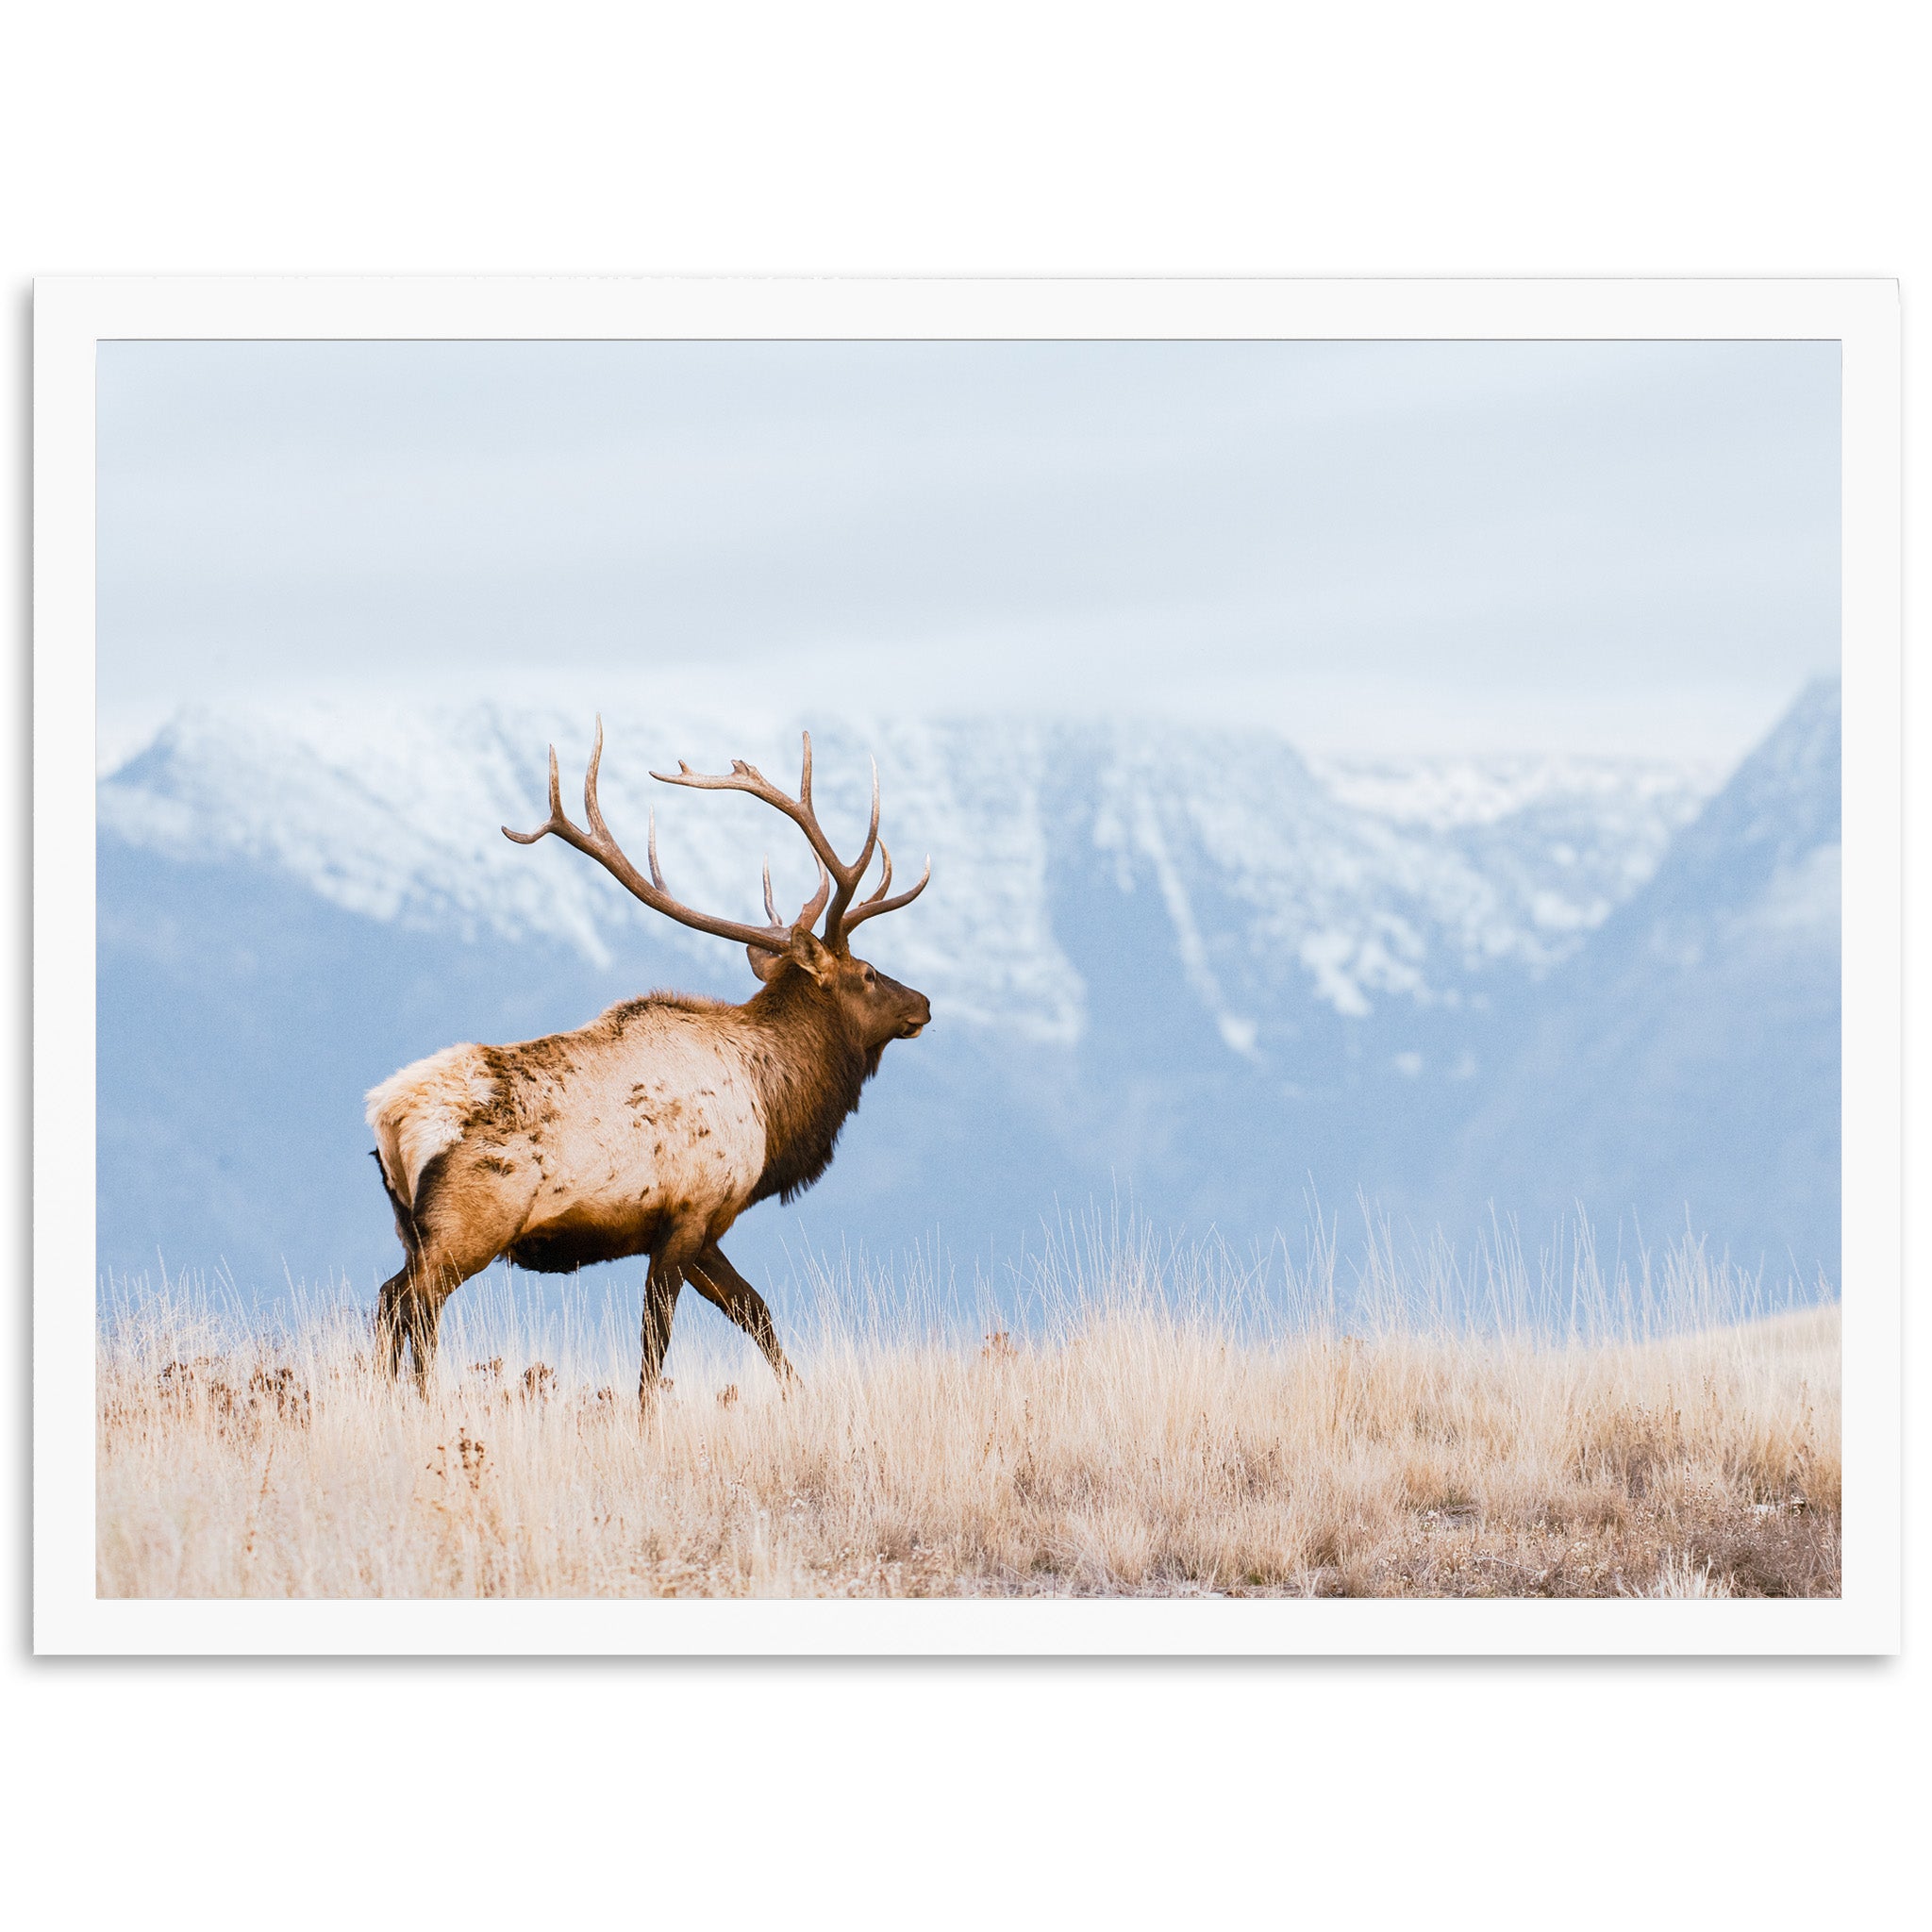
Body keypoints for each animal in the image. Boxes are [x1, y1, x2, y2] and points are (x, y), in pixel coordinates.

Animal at [367, 726, 935, 1406]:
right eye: (869, 974)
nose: (923, 1004)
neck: (773, 1108)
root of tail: (388, 1116)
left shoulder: (707, 1228)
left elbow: (756, 1312)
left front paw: (801, 1397)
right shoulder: (689, 1213)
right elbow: (655, 1344)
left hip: (410, 1227)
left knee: (394, 1301)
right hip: (469, 1223)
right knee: (409, 1304)